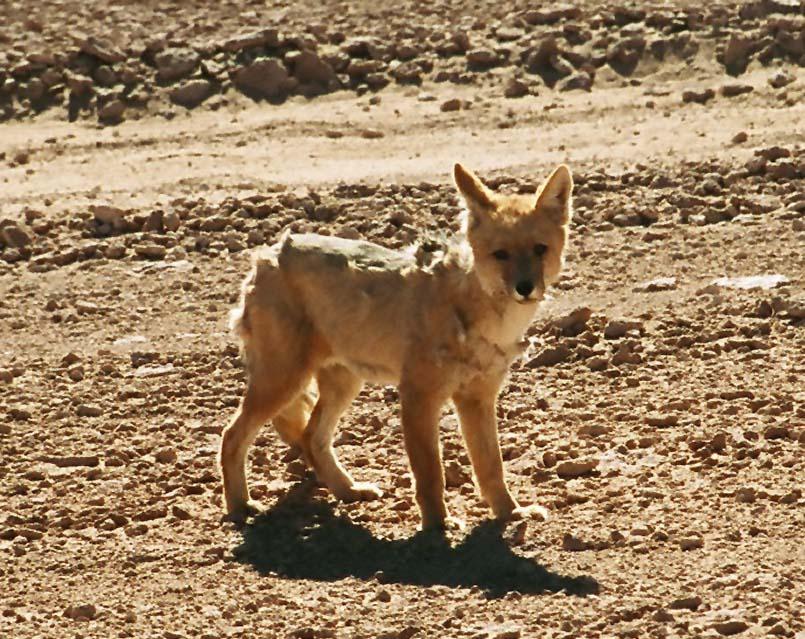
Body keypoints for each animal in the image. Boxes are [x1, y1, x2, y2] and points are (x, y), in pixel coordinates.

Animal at [219, 163, 573, 529]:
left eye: (540, 249)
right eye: (501, 254)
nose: (525, 287)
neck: (481, 315)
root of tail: (267, 254)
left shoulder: (477, 398)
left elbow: (491, 466)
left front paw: (511, 512)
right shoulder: (418, 395)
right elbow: (430, 472)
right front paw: (438, 525)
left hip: (342, 384)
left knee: (311, 438)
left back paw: (348, 490)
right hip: (284, 382)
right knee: (232, 436)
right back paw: (240, 506)